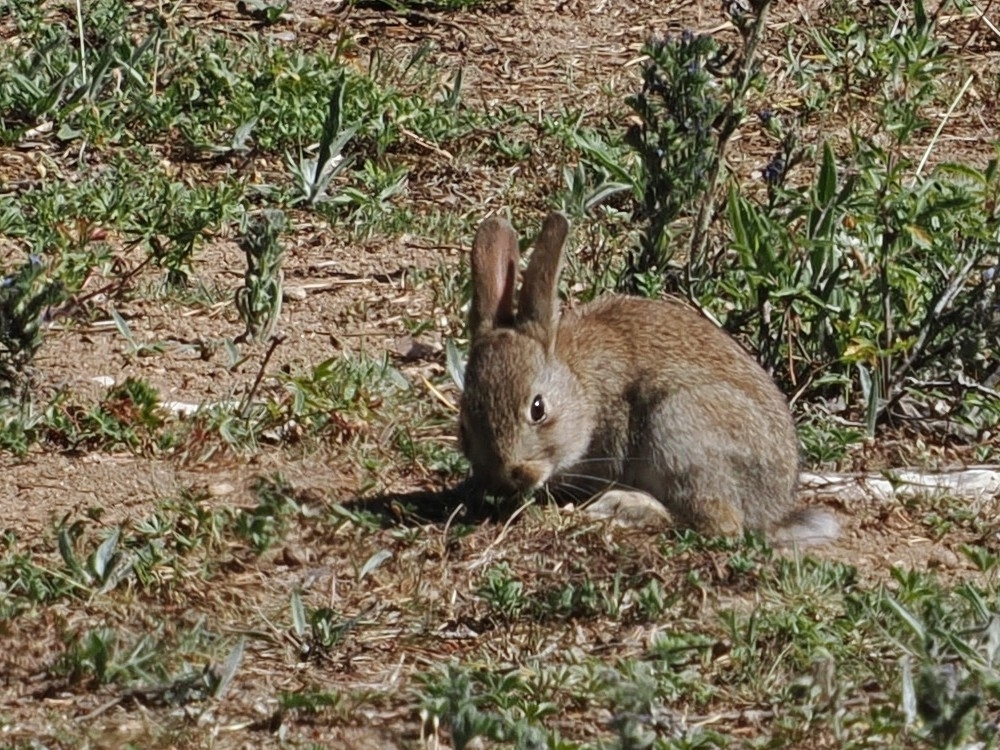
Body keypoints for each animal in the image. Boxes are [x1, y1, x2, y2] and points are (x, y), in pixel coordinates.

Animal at [458, 211, 838, 547]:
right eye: (464, 421)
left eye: (538, 409)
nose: (507, 475)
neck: (580, 385)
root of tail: (774, 509)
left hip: (679, 426)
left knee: (720, 524)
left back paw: (622, 506)